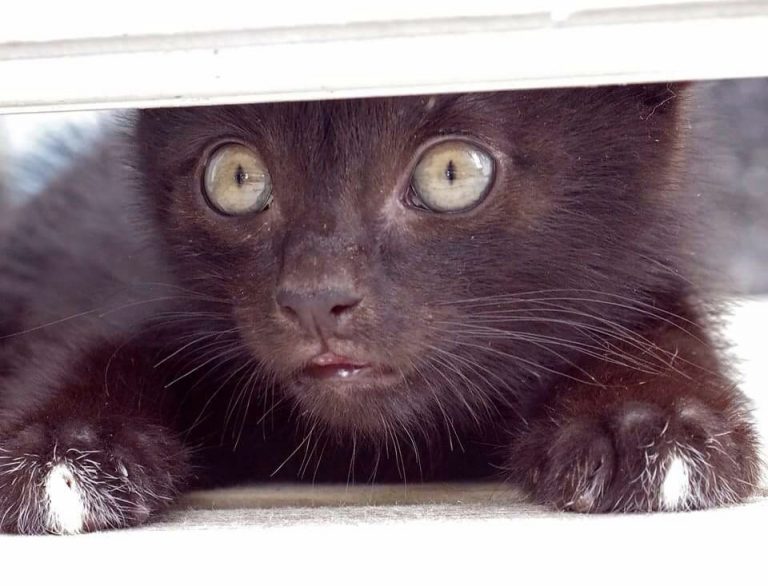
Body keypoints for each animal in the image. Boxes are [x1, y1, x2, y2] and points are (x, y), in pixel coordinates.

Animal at [0, 84, 760, 532]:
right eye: (237, 177)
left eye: (452, 172)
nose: (314, 296)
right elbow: (110, 341)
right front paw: (67, 442)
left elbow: (655, 312)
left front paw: (646, 415)